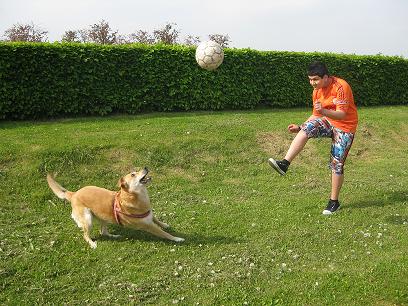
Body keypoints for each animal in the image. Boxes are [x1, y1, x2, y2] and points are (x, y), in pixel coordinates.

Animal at [45, 167, 183, 249]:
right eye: (133, 174)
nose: (145, 167)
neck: (137, 197)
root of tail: (74, 193)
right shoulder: (148, 226)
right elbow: (164, 233)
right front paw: (177, 238)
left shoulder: (149, 214)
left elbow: (156, 218)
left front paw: (165, 224)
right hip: (88, 219)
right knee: (85, 235)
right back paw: (92, 243)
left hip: (104, 217)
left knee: (103, 232)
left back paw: (114, 236)